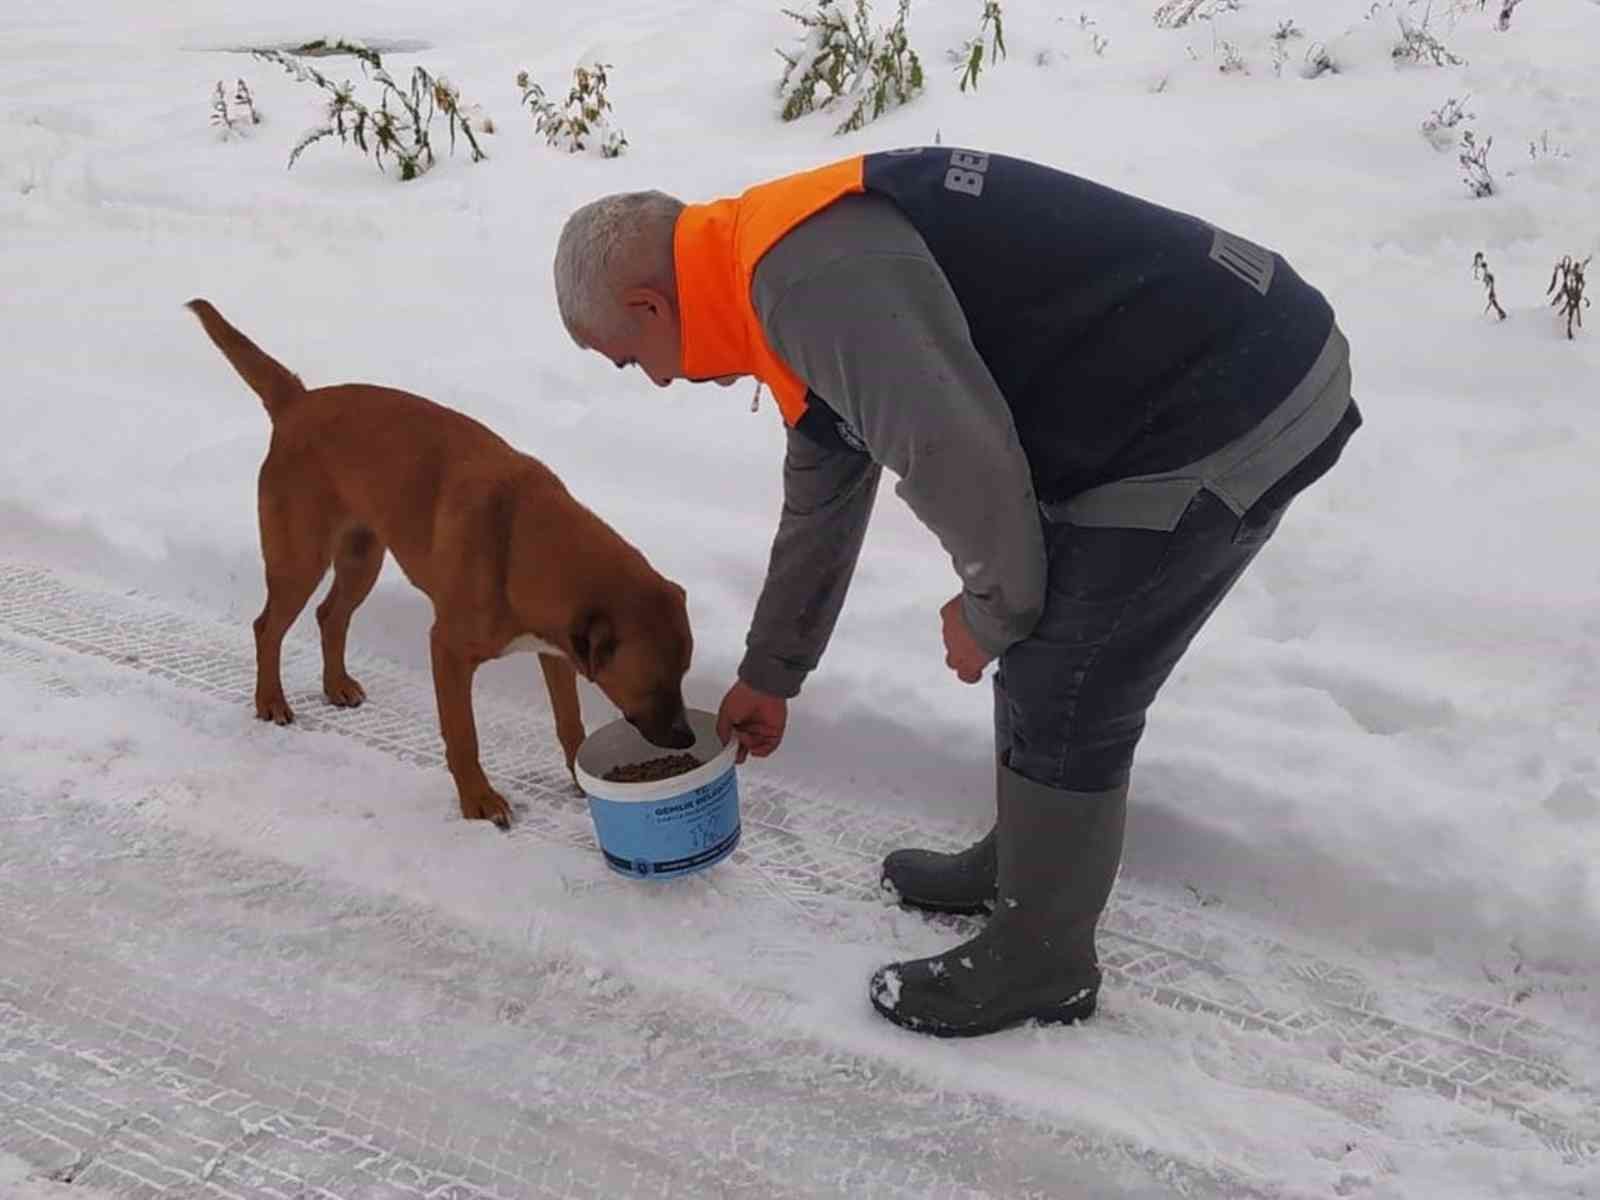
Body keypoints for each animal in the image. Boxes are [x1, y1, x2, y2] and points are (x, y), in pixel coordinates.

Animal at [185, 299, 694, 825]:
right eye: (653, 681)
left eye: (685, 672)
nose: (687, 738)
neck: (517, 543)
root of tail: (297, 400)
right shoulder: (448, 650)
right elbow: (463, 735)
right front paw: (478, 800)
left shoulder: (555, 653)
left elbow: (569, 721)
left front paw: (579, 777)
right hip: (299, 559)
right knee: (267, 627)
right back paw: (270, 700)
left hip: (361, 557)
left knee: (330, 615)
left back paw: (336, 685)